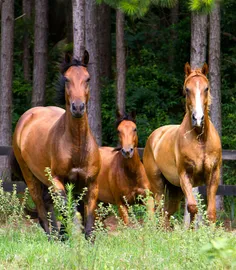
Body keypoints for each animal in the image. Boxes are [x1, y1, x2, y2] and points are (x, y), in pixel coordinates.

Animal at [12, 51, 100, 238]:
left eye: (88, 78)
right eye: (66, 79)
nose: (78, 107)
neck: (77, 146)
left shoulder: (91, 184)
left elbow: (88, 219)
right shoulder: (58, 180)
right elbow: (66, 208)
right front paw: (66, 235)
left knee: (48, 203)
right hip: (31, 177)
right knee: (41, 206)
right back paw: (53, 236)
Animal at [143, 62, 222, 224]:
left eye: (206, 88)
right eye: (187, 89)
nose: (198, 118)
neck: (201, 140)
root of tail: (154, 136)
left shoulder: (213, 175)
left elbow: (211, 213)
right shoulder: (185, 175)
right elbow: (192, 207)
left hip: (174, 189)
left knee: (166, 214)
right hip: (158, 185)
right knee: (158, 211)